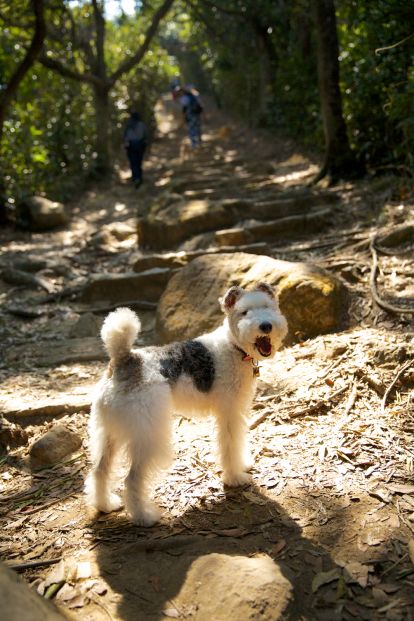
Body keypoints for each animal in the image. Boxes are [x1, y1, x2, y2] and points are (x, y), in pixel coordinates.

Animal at [85, 282, 288, 524]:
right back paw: (145, 517)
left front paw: (243, 463)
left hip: (109, 431)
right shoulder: (229, 412)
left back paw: (104, 504)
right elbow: (230, 444)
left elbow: (238, 440)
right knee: (132, 478)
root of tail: (124, 358)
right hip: (149, 434)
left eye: (268, 306)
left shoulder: (237, 410)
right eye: (244, 312)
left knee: (99, 470)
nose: (265, 326)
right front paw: (235, 477)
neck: (233, 346)